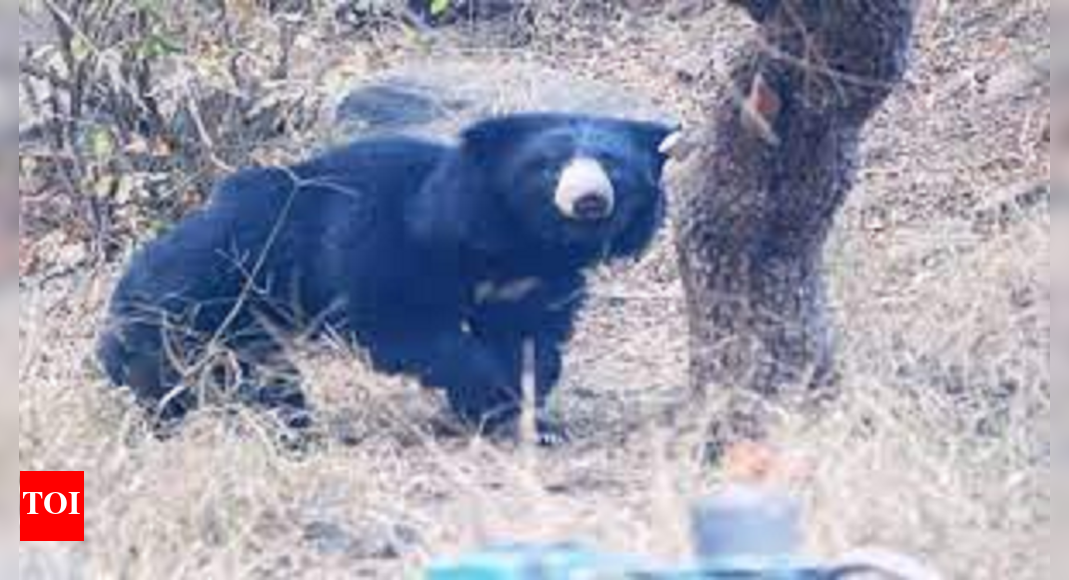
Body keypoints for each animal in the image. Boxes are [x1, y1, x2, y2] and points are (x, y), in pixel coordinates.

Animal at [97, 112, 676, 443]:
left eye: (613, 166)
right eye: (549, 167)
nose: (589, 199)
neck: (514, 242)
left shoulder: (529, 282)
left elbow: (531, 338)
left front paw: (524, 413)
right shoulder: (378, 239)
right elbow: (401, 325)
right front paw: (490, 396)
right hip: (195, 316)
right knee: (209, 379)